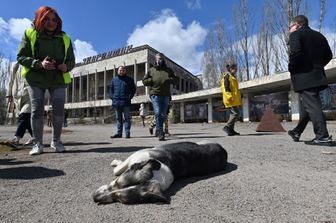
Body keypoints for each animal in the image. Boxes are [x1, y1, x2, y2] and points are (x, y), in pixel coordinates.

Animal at [93, 141, 227, 204]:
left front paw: (116, 162)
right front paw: (116, 162)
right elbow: (118, 170)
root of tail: (224, 151)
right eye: (116, 182)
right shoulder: (135, 157)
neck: (157, 174)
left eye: (120, 199)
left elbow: (116, 170)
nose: (94, 198)